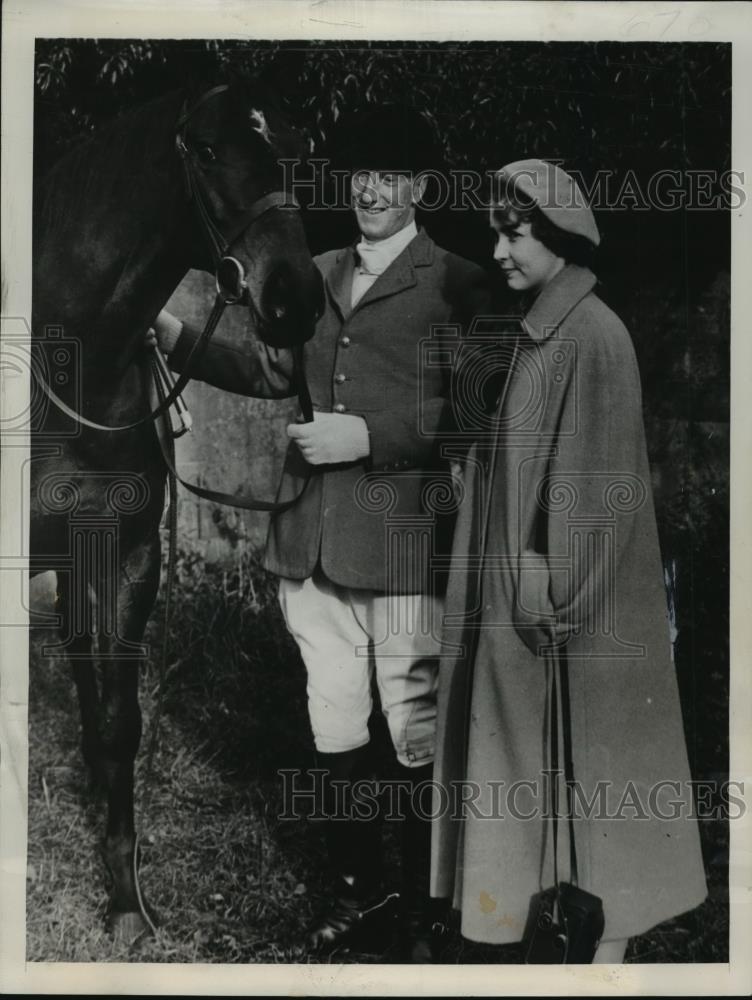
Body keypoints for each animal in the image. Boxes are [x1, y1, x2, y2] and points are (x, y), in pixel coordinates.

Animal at [30, 82, 324, 940]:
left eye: (294, 151)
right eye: (209, 149)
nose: (296, 299)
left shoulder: (128, 553)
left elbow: (122, 718)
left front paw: (126, 899)